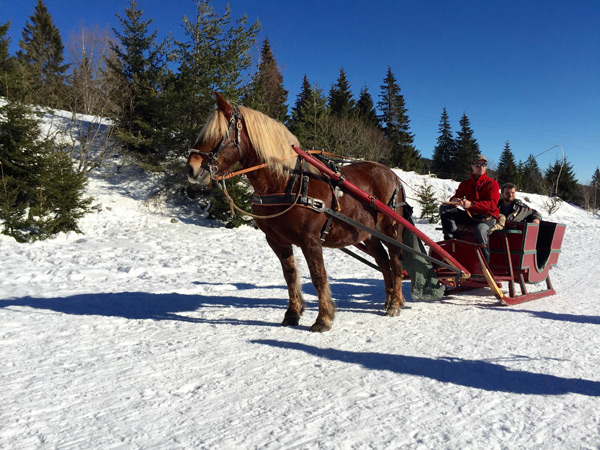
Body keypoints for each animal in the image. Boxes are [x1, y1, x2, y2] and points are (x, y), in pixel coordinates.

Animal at [185, 92, 406, 330]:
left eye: (218, 134)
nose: (191, 169)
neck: (286, 182)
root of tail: (392, 174)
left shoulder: (311, 240)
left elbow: (318, 276)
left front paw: (323, 318)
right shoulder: (276, 239)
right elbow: (290, 275)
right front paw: (292, 313)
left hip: (391, 230)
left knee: (395, 261)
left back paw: (395, 303)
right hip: (368, 233)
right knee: (383, 261)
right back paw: (388, 299)